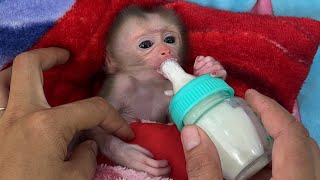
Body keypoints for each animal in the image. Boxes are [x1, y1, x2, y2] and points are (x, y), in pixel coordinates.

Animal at [92, 4, 228, 176]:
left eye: (170, 40)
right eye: (145, 44)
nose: (166, 51)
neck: (148, 83)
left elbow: (174, 122)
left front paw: (210, 68)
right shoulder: (120, 85)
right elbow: (96, 129)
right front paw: (128, 155)